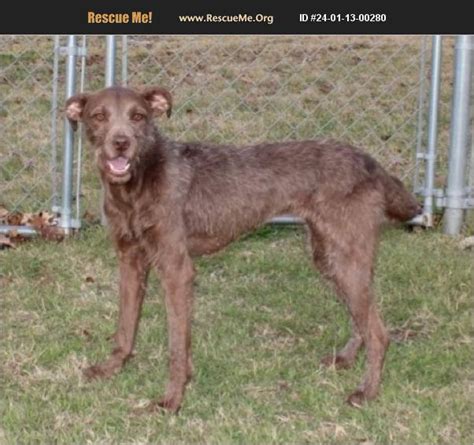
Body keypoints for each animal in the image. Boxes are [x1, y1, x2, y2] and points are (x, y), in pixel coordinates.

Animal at [65, 85, 420, 412]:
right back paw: (346, 359)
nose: (121, 143)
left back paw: (367, 392)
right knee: (363, 318)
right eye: (99, 116)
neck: (137, 185)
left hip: (344, 256)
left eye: (138, 116)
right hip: (332, 257)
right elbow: (125, 327)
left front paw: (173, 399)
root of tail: (371, 162)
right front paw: (112, 368)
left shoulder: (176, 269)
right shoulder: (130, 261)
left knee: (378, 332)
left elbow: (177, 345)